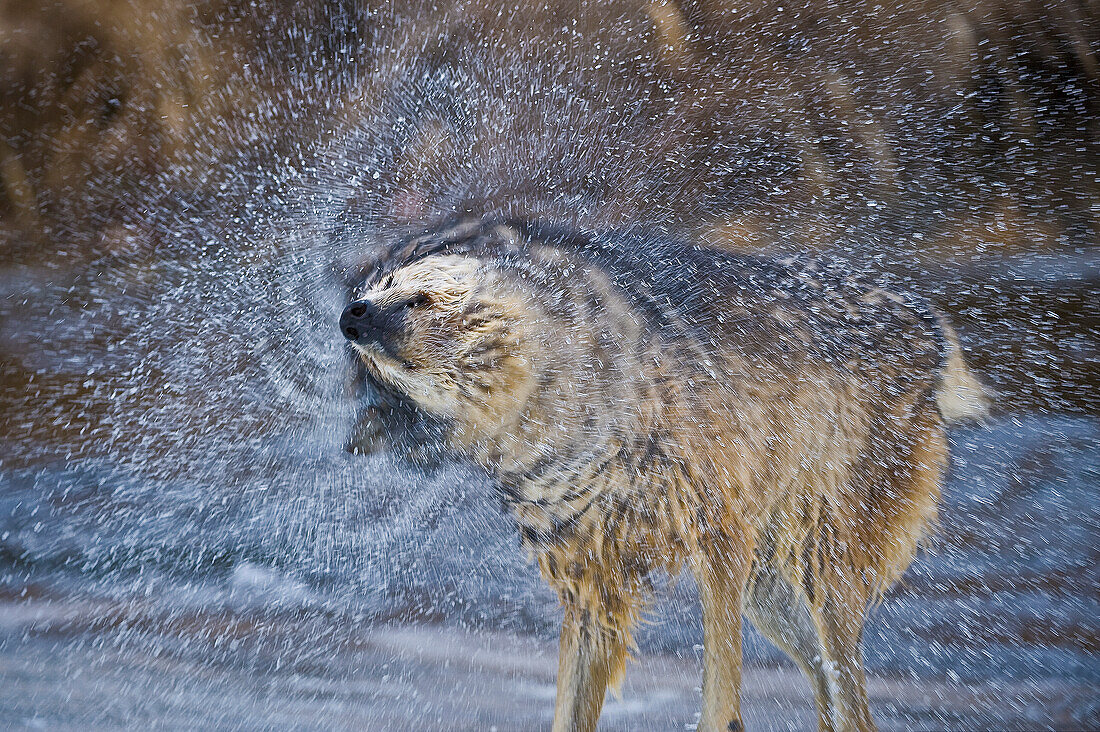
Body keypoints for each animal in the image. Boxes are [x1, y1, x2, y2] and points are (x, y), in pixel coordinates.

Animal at [336, 216, 990, 730]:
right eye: (384, 287)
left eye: (419, 299)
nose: (351, 316)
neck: (565, 424)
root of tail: (923, 318)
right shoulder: (592, 590)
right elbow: (569, 712)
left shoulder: (719, 537)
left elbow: (720, 697)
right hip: (775, 600)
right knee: (834, 701)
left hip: (819, 577)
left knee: (852, 701)